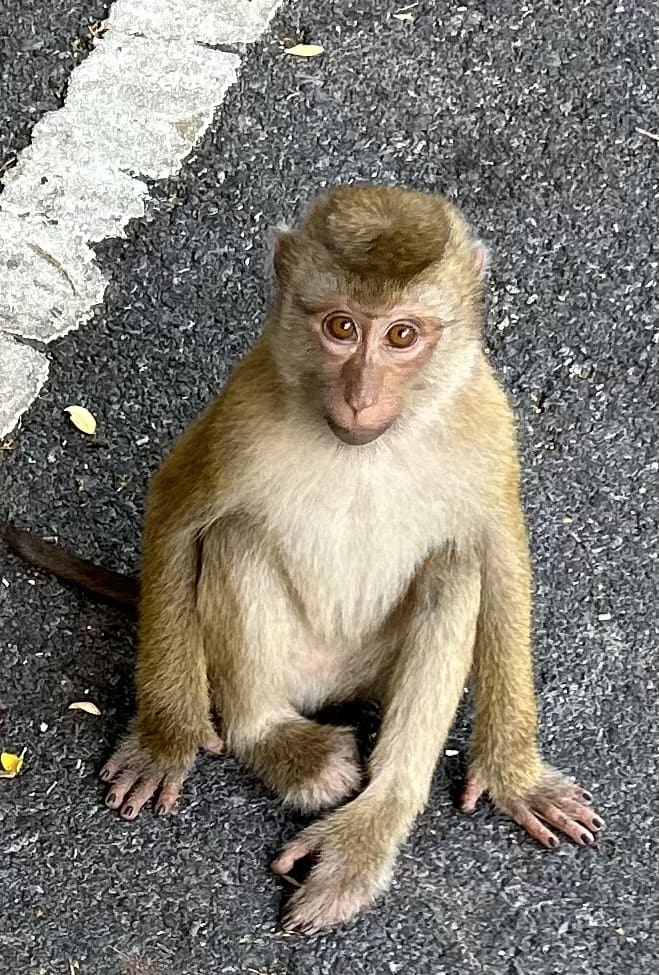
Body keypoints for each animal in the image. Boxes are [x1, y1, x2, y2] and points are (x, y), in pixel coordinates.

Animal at [2, 187, 604, 936]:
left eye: (401, 336)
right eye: (340, 327)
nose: (360, 396)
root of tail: (329, 688)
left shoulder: (489, 424)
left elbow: (499, 560)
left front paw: (517, 776)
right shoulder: (244, 407)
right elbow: (176, 512)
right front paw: (165, 738)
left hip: (373, 667)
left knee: (452, 571)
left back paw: (370, 825)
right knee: (236, 536)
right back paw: (278, 743)